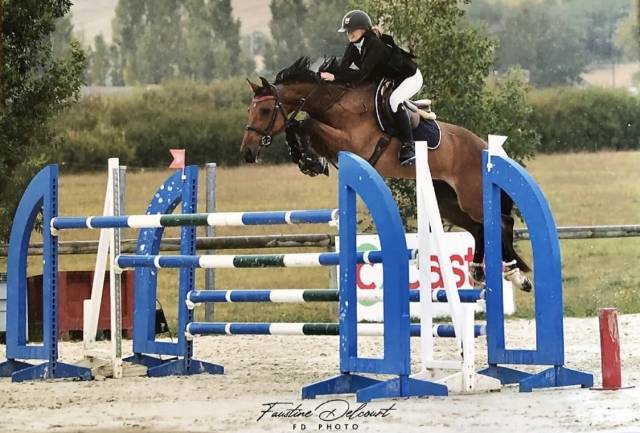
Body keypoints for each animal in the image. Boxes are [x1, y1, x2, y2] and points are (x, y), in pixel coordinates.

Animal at [240, 57, 532, 291]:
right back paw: (479, 271)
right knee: (479, 227)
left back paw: (517, 275)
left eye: (265, 110)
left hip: (472, 196)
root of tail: (485, 148)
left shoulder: (355, 143)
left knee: (501, 222)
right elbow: (299, 125)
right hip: (448, 201)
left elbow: (306, 123)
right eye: (250, 110)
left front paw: (308, 157)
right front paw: (308, 159)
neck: (337, 105)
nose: (247, 152)